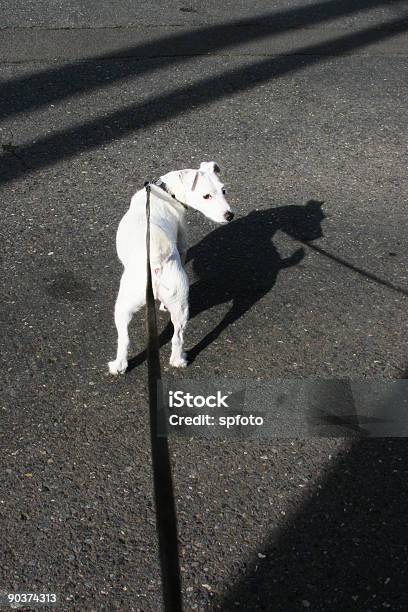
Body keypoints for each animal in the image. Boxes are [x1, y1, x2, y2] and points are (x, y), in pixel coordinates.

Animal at [107, 160, 234, 376]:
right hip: (171, 304)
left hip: (133, 303)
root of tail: (156, 262)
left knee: (137, 338)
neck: (166, 191)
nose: (230, 215)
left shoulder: (182, 245)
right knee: (170, 336)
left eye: (223, 190)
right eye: (206, 196)